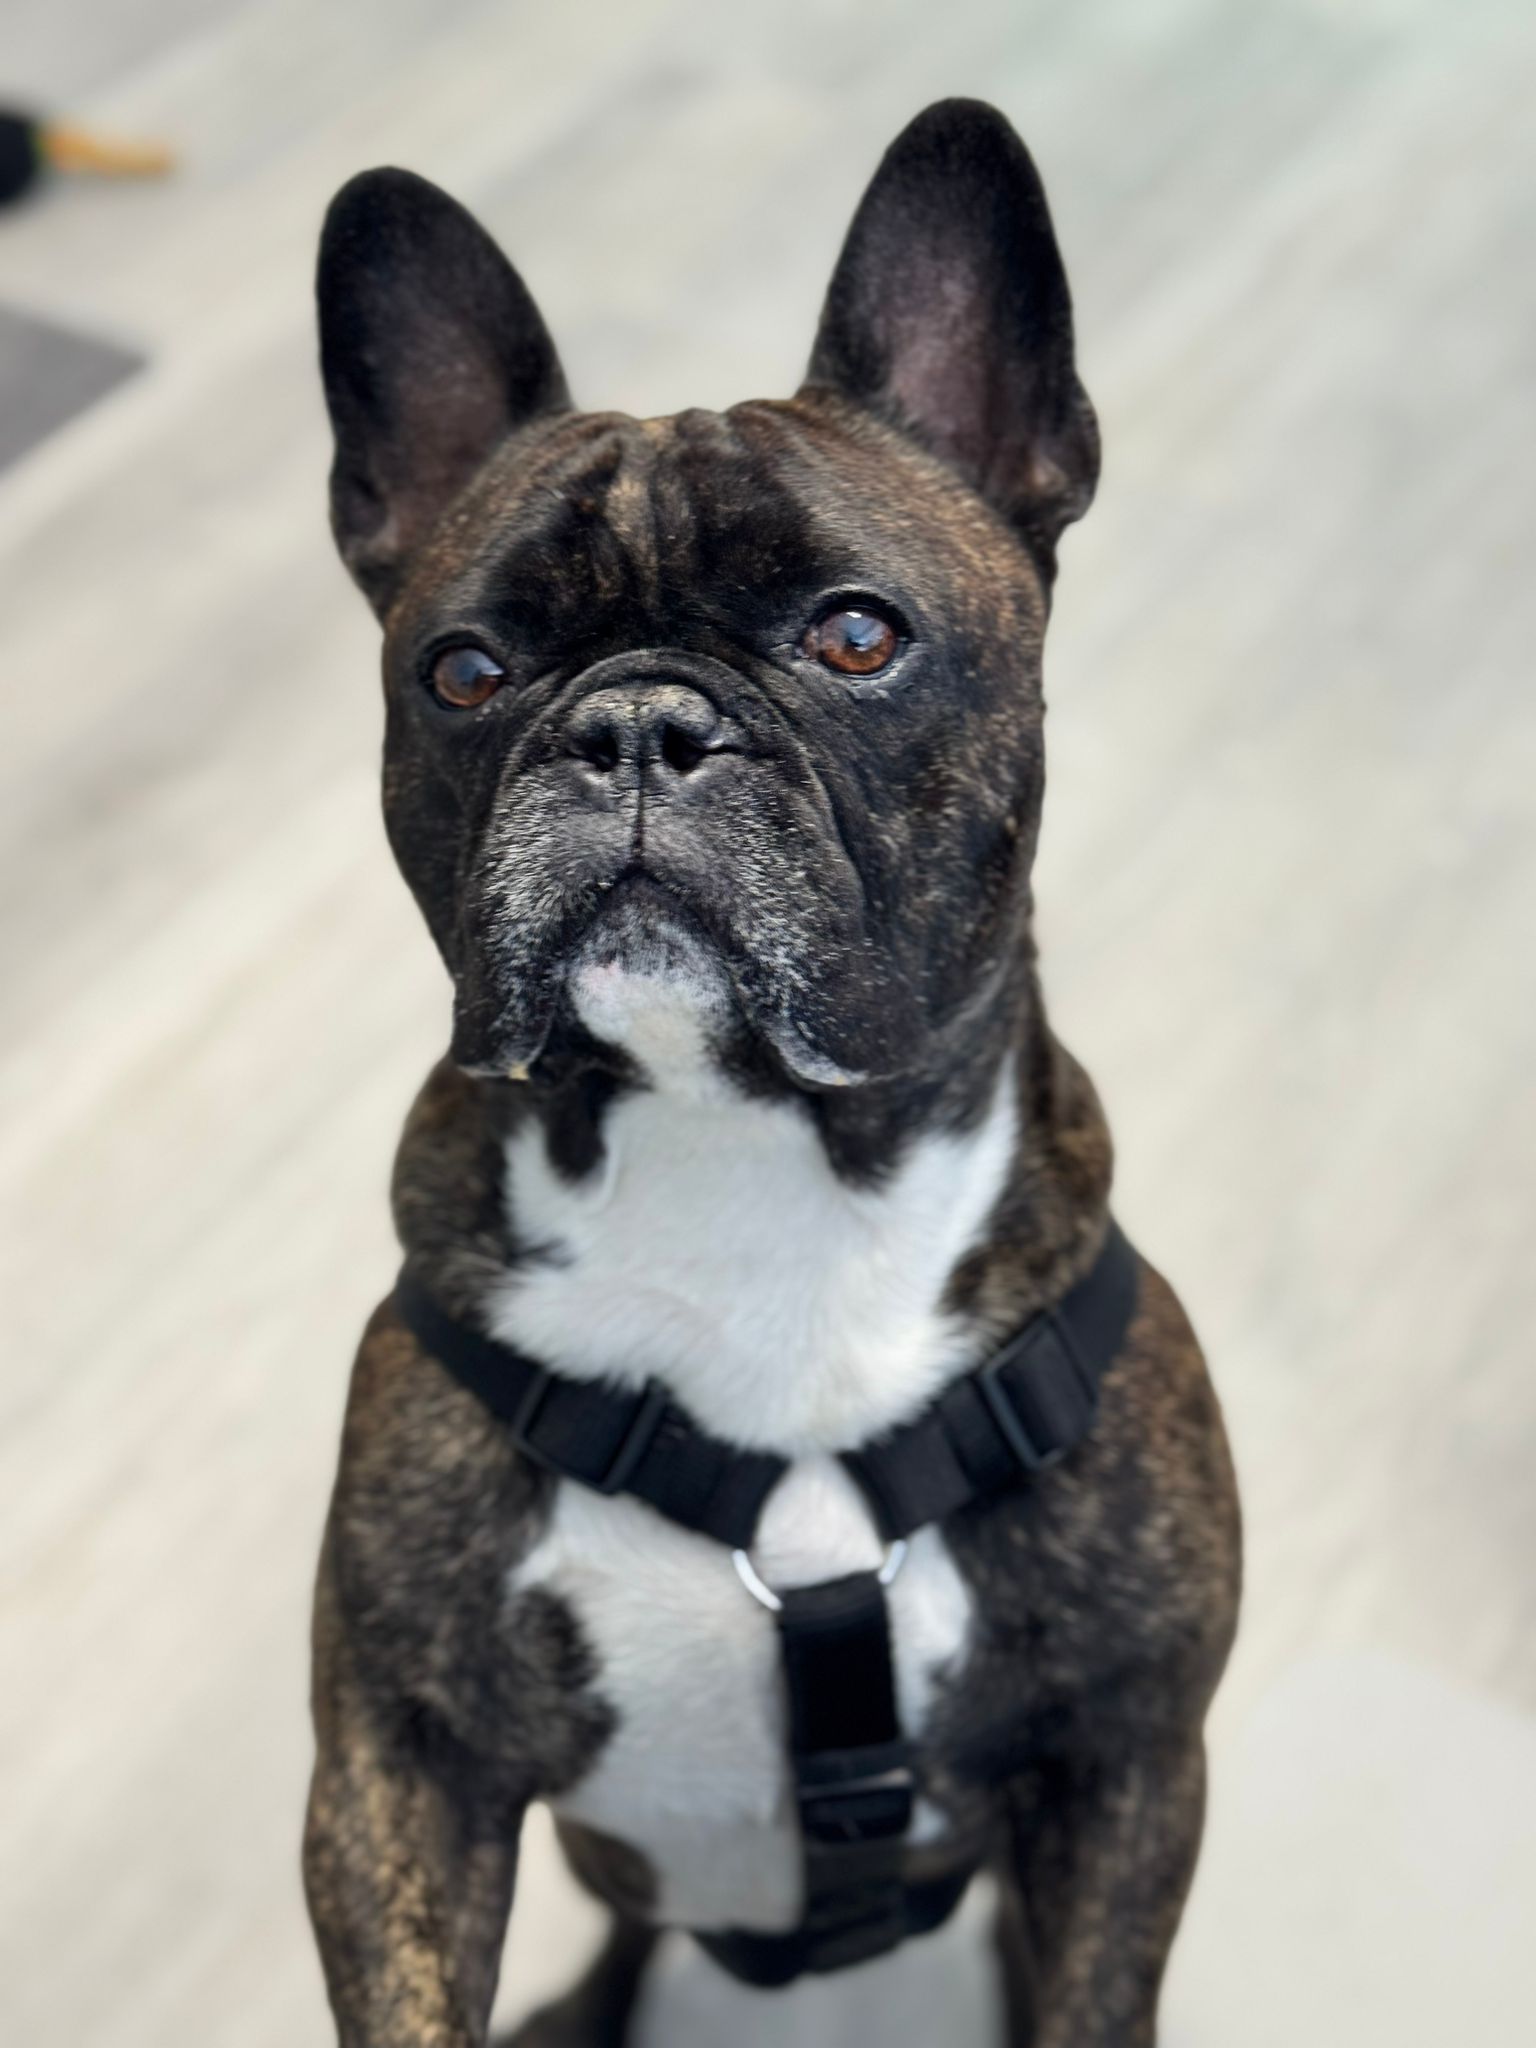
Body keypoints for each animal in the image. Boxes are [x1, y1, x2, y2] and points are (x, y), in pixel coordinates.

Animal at [301, 98, 1241, 2048]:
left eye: (856, 636)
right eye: (463, 670)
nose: (633, 723)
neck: (743, 1163)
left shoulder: (1128, 1766)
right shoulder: (397, 1765)